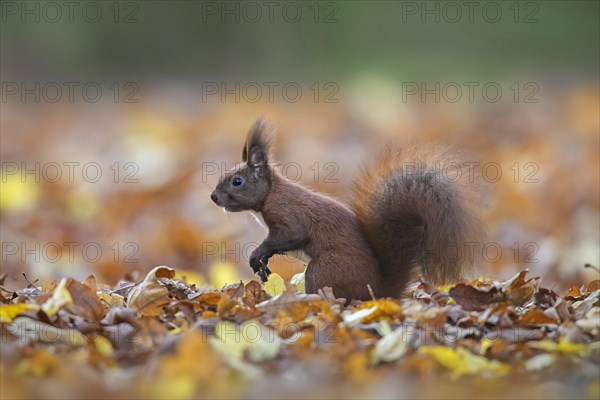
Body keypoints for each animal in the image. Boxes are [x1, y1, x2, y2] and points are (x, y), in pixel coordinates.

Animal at [209, 117, 486, 302]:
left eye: (237, 181)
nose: (213, 197)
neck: (269, 195)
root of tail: (377, 291)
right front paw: (261, 264)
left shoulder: (288, 214)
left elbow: (291, 234)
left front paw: (258, 254)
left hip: (323, 269)